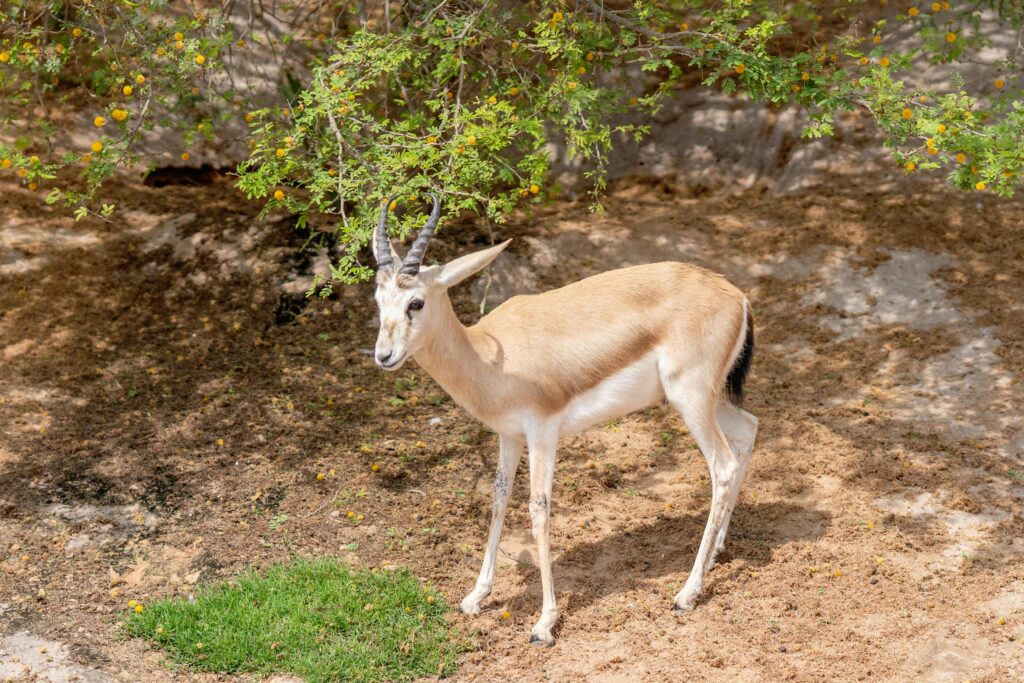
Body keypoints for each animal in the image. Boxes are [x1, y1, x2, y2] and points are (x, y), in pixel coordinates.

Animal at [371, 193, 758, 646]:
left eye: (415, 302)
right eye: (379, 302)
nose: (384, 356)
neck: (489, 358)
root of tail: (735, 294)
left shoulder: (543, 430)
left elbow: (538, 508)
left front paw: (544, 622)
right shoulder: (509, 435)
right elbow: (499, 497)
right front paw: (475, 597)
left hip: (691, 400)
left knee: (722, 466)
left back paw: (687, 593)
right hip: (704, 400)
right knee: (749, 430)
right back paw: (716, 553)